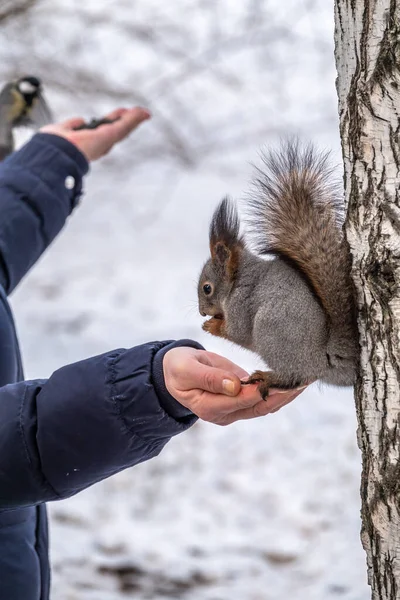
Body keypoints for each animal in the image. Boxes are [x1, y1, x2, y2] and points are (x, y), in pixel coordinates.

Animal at [198, 138, 358, 396]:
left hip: (270, 330)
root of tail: (323, 360)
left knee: (294, 375)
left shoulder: (241, 303)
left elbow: (236, 331)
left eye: (207, 288)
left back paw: (269, 378)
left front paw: (212, 325)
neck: (236, 280)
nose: (202, 311)